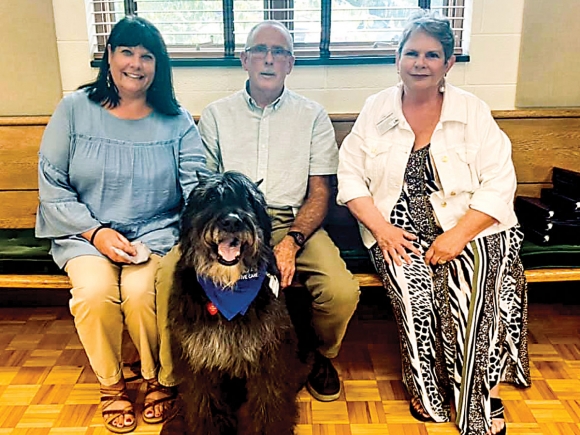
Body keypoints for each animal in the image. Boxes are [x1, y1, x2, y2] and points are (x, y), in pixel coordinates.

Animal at [165, 172, 306, 434]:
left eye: (249, 199)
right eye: (211, 197)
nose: (231, 222)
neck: (228, 290)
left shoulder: (269, 362)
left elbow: (269, 408)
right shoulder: (199, 364)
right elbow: (205, 407)